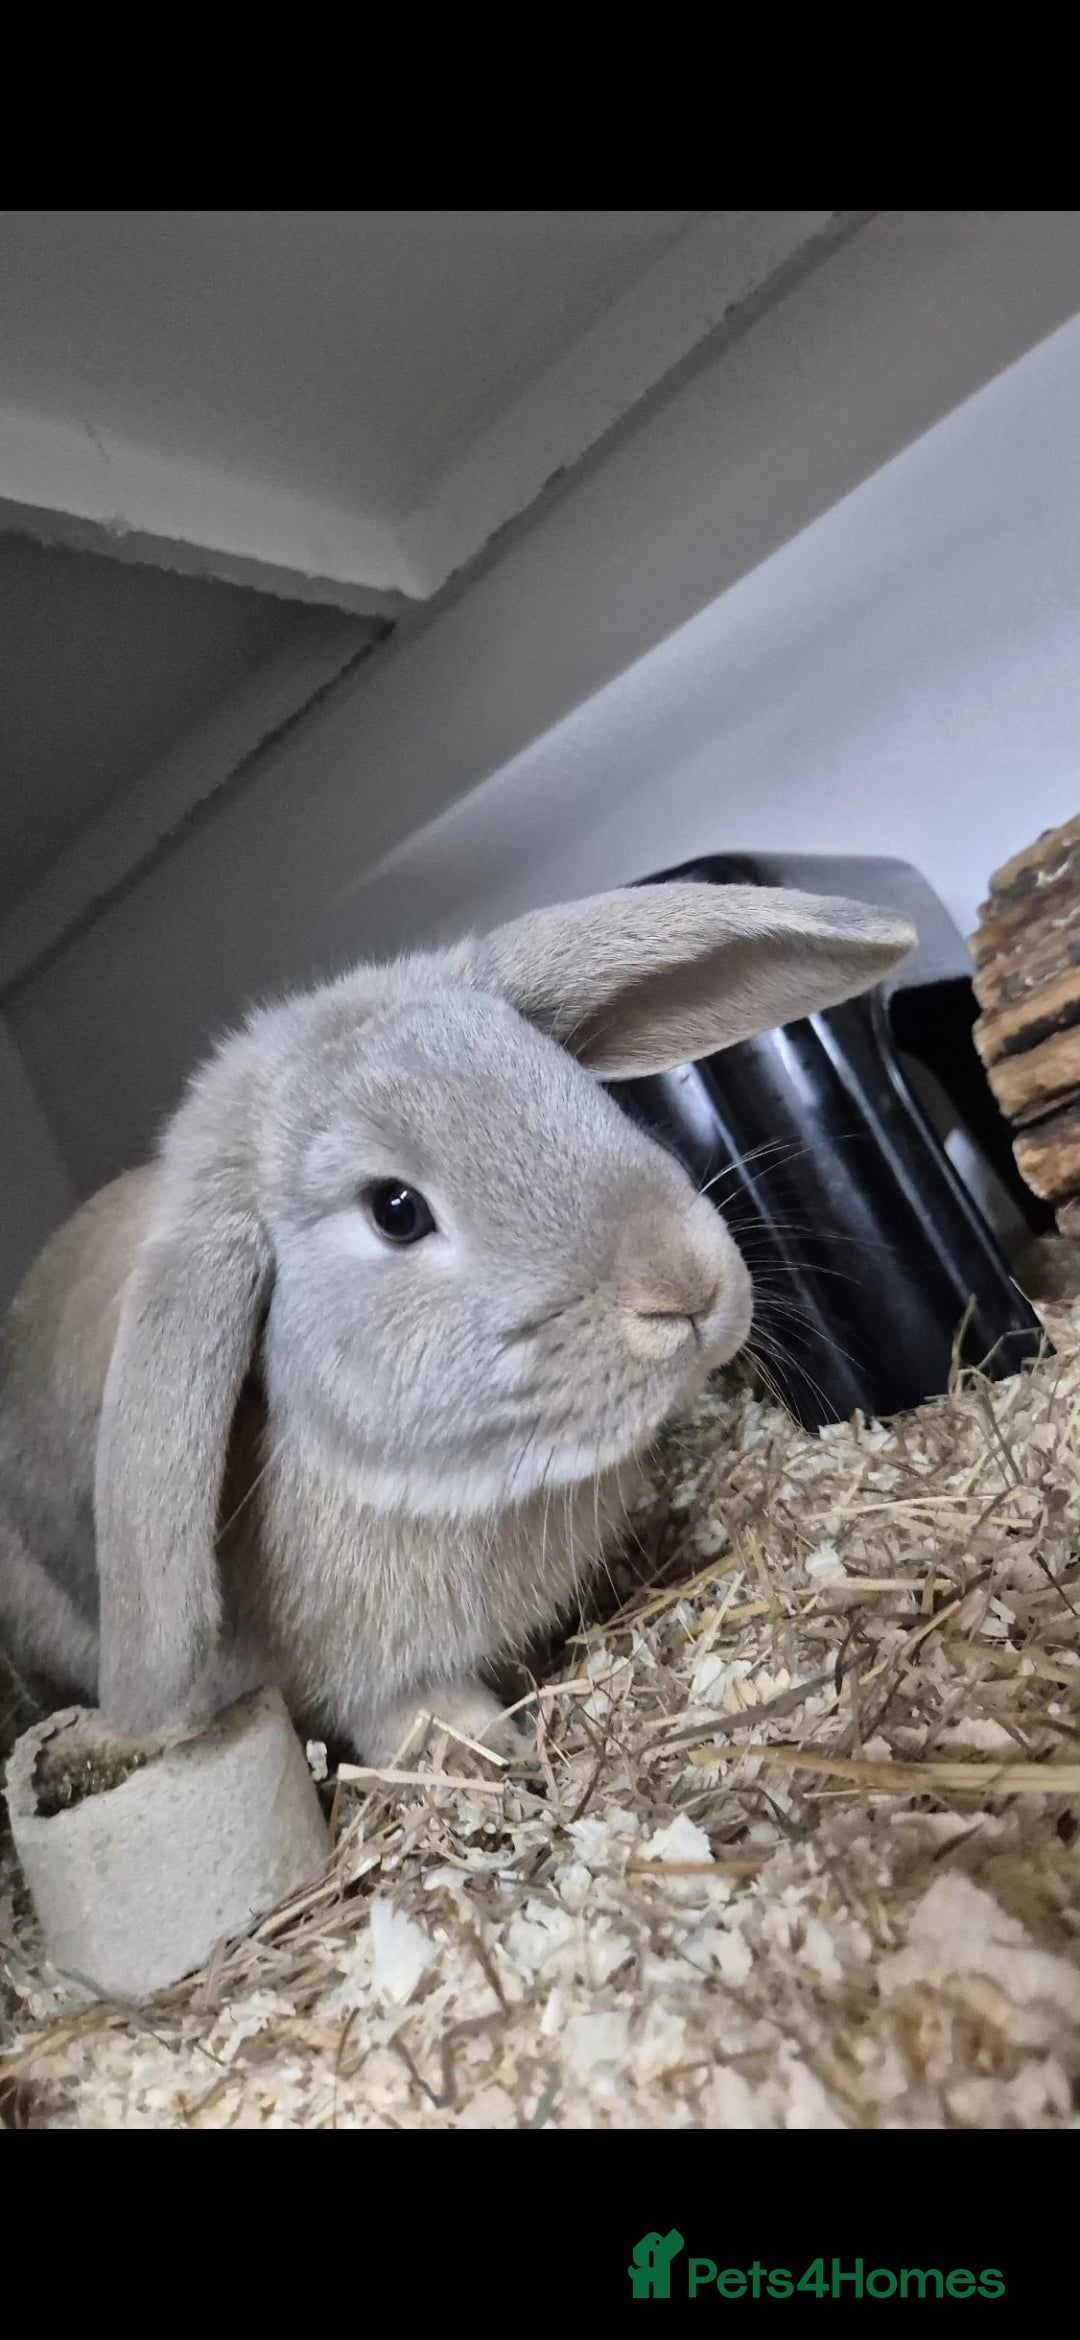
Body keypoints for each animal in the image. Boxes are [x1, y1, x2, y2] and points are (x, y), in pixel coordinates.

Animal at [0, 881, 914, 1764]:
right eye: (396, 1210)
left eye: (569, 1081)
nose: (687, 1288)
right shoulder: (376, 1679)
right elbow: (416, 1720)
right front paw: (492, 1753)